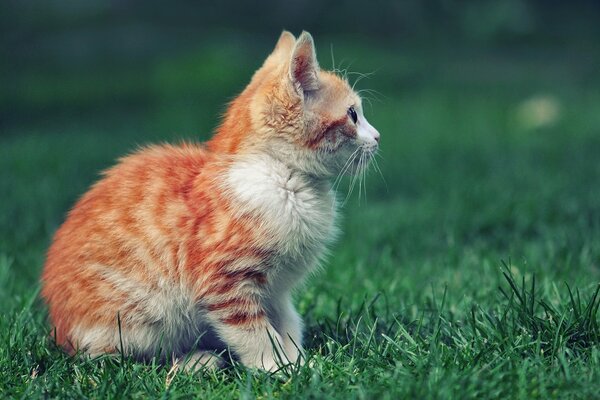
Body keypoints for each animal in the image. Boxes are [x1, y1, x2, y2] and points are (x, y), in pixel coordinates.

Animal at [41, 31, 380, 372]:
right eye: (353, 114)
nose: (377, 137)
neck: (286, 178)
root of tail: (61, 331)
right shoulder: (224, 281)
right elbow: (255, 332)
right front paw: (275, 367)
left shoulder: (276, 291)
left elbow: (287, 321)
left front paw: (300, 362)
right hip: (137, 318)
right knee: (120, 360)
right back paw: (193, 362)